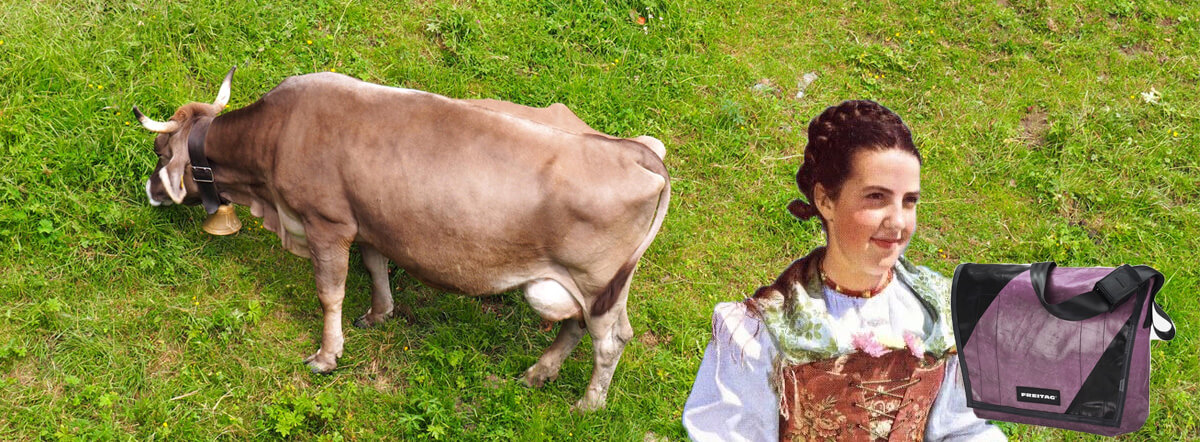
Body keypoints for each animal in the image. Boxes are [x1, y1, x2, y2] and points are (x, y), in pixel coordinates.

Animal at [138, 67, 676, 408]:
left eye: (161, 150)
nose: (149, 191)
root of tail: (633, 150)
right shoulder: (370, 221)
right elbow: (375, 266)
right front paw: (380, 314)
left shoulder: (327, 223)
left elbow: (329, 293)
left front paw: (327, 356)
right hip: (591, 287)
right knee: (577, 326)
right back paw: (536, 374)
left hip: (596, 281)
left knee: (610, 341)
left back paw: (587, 406)